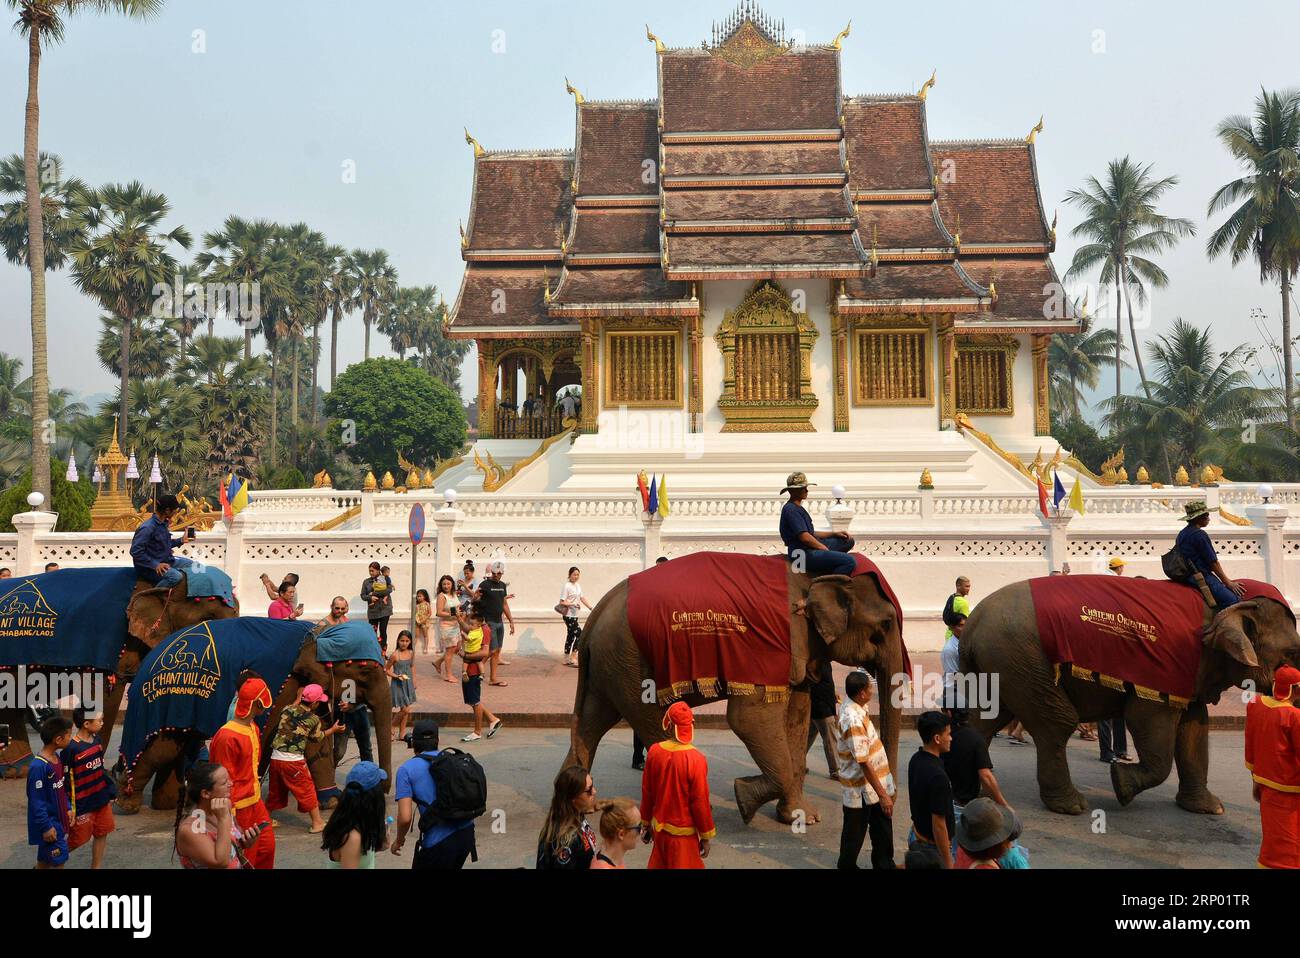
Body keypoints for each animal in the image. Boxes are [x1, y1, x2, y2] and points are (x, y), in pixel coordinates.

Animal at [116, 616, 390, 811]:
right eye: (365, 672)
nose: (384, 786)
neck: (318, 636)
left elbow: (317, 741)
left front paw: (332, 801)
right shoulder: (280, 689)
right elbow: (267, 735)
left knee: (177, 745)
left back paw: (169, 803)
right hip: (162, 697)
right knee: (159, 750)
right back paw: (127, 803)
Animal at [564, 556, 909, 826]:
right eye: (885, 626)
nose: (890, 803)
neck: (814, 572)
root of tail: (594, 616)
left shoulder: (798, 650)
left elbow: (798, 716)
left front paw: (802, 818)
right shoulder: (767, 647)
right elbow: (749, 720)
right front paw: (743, 798)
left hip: (611, 668)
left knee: (592, 723)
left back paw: (578, 806)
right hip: (632, 665)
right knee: (654, 723)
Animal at [956, 574, 1300, 816]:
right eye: (1291, 653)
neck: (1221, 603)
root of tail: (971, 627)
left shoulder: (1191, 672)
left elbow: (1195, 729)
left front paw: (1210, 809)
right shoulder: (1165, 664)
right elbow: (1148, 720)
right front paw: (1120, 785)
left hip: (1001, 665)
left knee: (985, 719)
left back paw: (976, 795)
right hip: (1021, 660)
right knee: (1057, 722)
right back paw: (1071, 806)